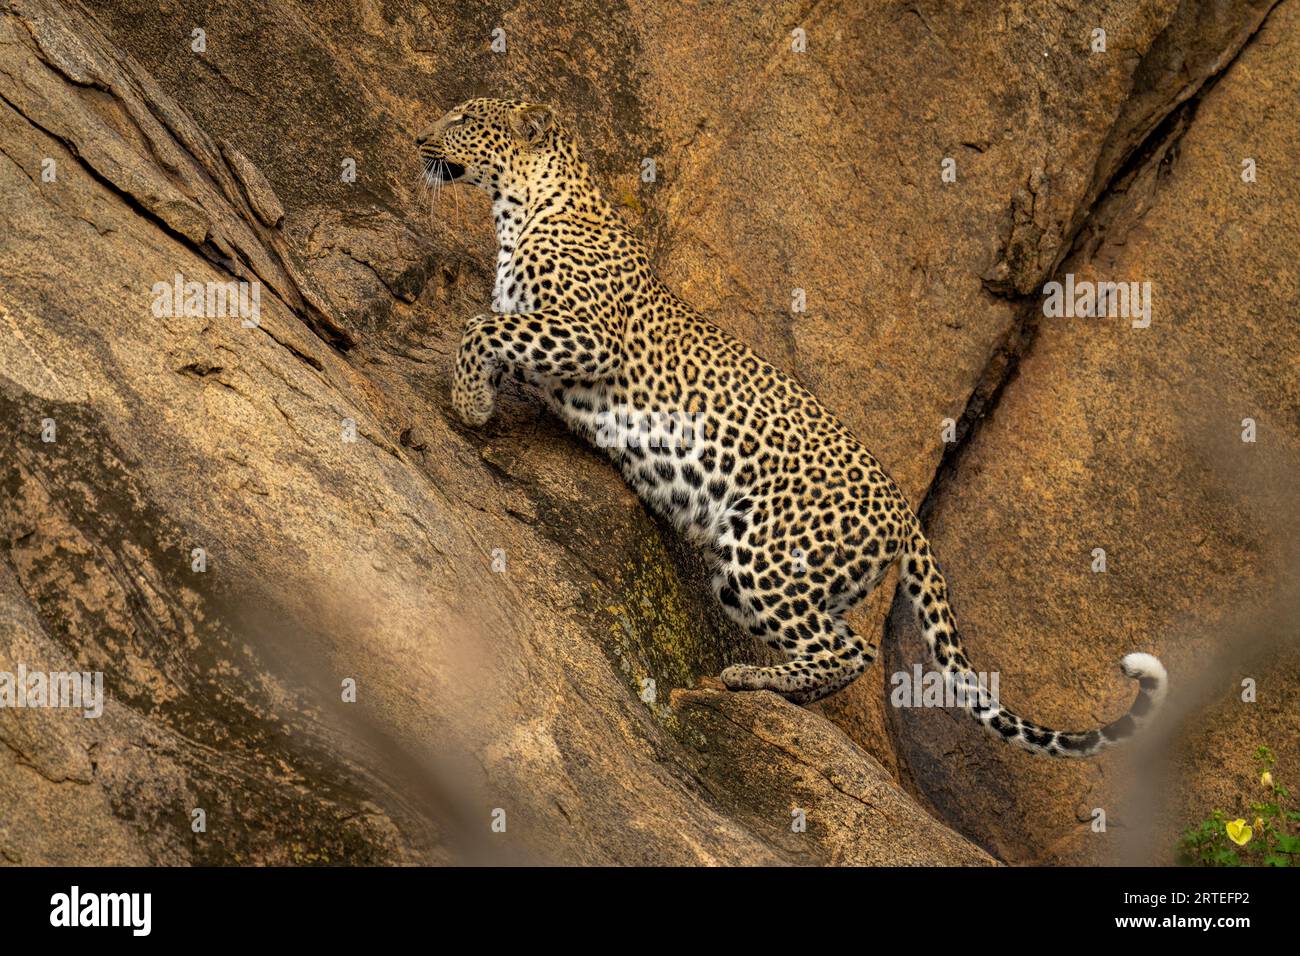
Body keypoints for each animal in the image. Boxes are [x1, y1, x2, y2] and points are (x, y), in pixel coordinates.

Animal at [415, 97, 1168, 757]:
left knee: (850, 649)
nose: (420, 139)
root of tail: (907, 515)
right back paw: (777, 687)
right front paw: (478, 393)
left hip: (763, 550)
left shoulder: (588, 335)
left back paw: (751, 678)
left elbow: (482, 326)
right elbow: (494, 328)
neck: (520, 207)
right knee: (837, 644)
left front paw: (467, 403)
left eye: (463, 118)